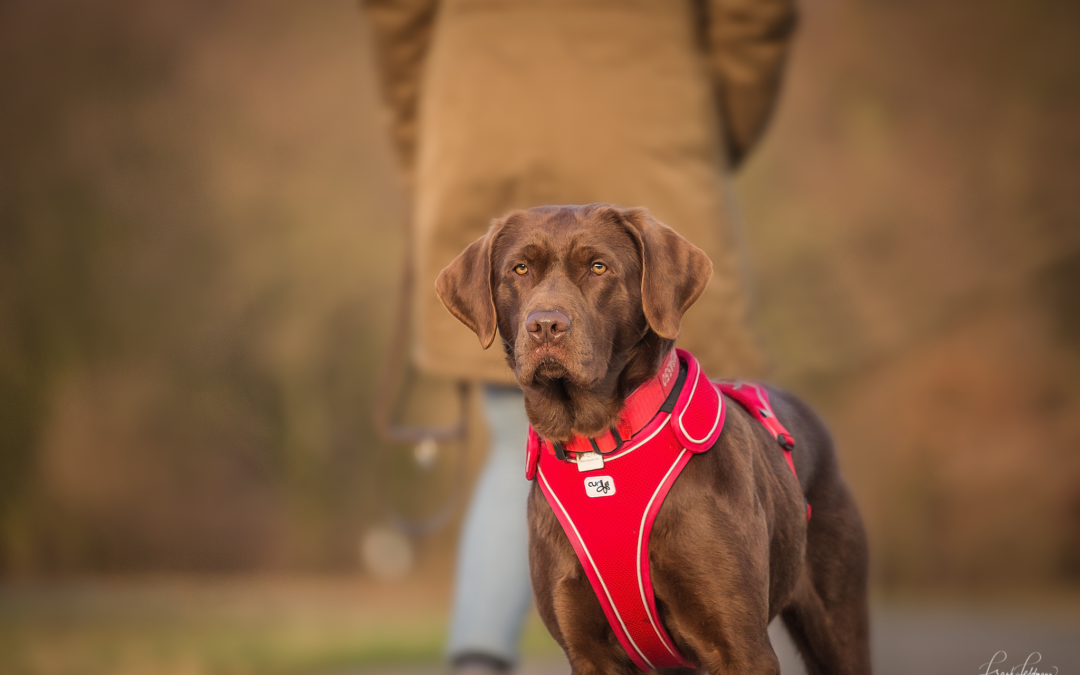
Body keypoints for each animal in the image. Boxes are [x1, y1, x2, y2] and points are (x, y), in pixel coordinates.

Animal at [436, 205, 868, 673]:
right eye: (519, 269)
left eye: (598, 267)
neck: (599, 445)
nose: (545, 325)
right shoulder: (587, 651)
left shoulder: (741, 646)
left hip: (837, 619)